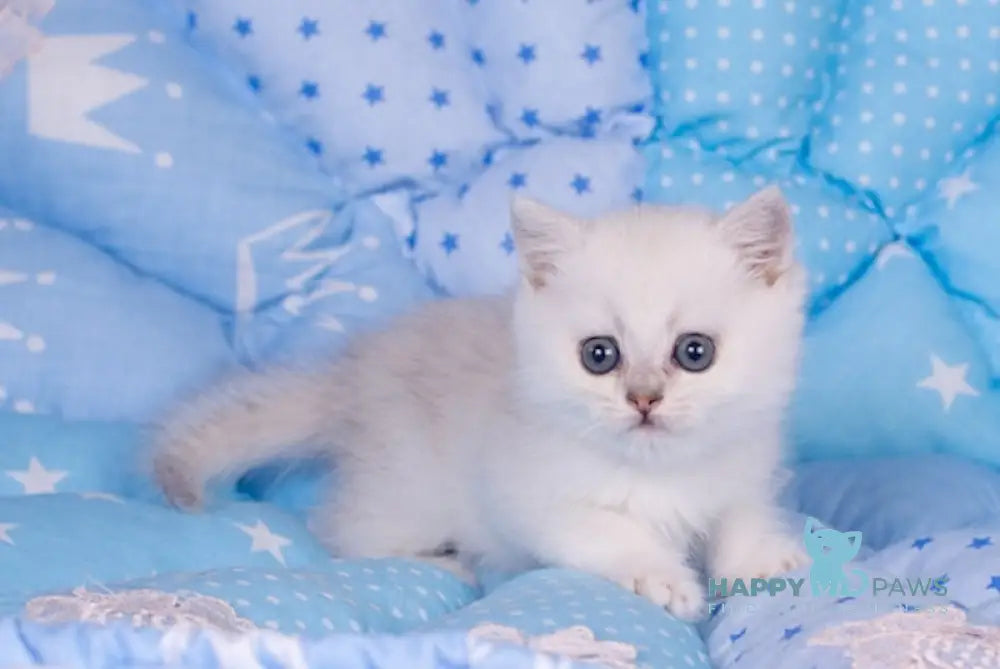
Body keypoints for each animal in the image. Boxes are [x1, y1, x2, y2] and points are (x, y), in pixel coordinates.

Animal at [154, 185, 812, 620]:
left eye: (695, 352)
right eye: (599, 355)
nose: (644, 399)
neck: (661, 472)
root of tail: (351, 374)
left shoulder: (742, 472)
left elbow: (740, 515)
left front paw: (762, 562)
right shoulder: (530, 496)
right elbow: (610, 530)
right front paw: (663, 579)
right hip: (407, 489)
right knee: (347, 532)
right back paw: (442, 563)